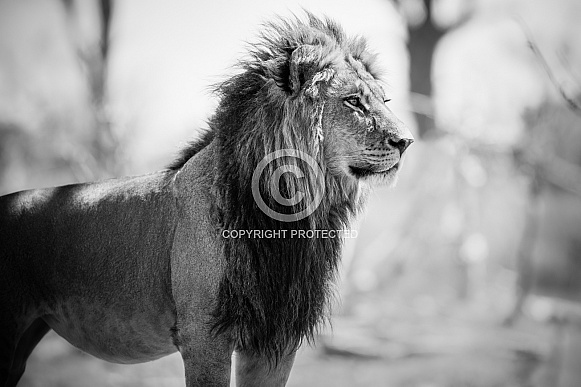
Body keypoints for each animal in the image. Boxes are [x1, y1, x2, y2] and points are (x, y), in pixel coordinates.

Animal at [0, 13, 412, 387]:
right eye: (354, 101)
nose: (406, 141)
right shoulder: (204, 338)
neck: (292, 214)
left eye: (385, 99)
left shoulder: (276, 341)